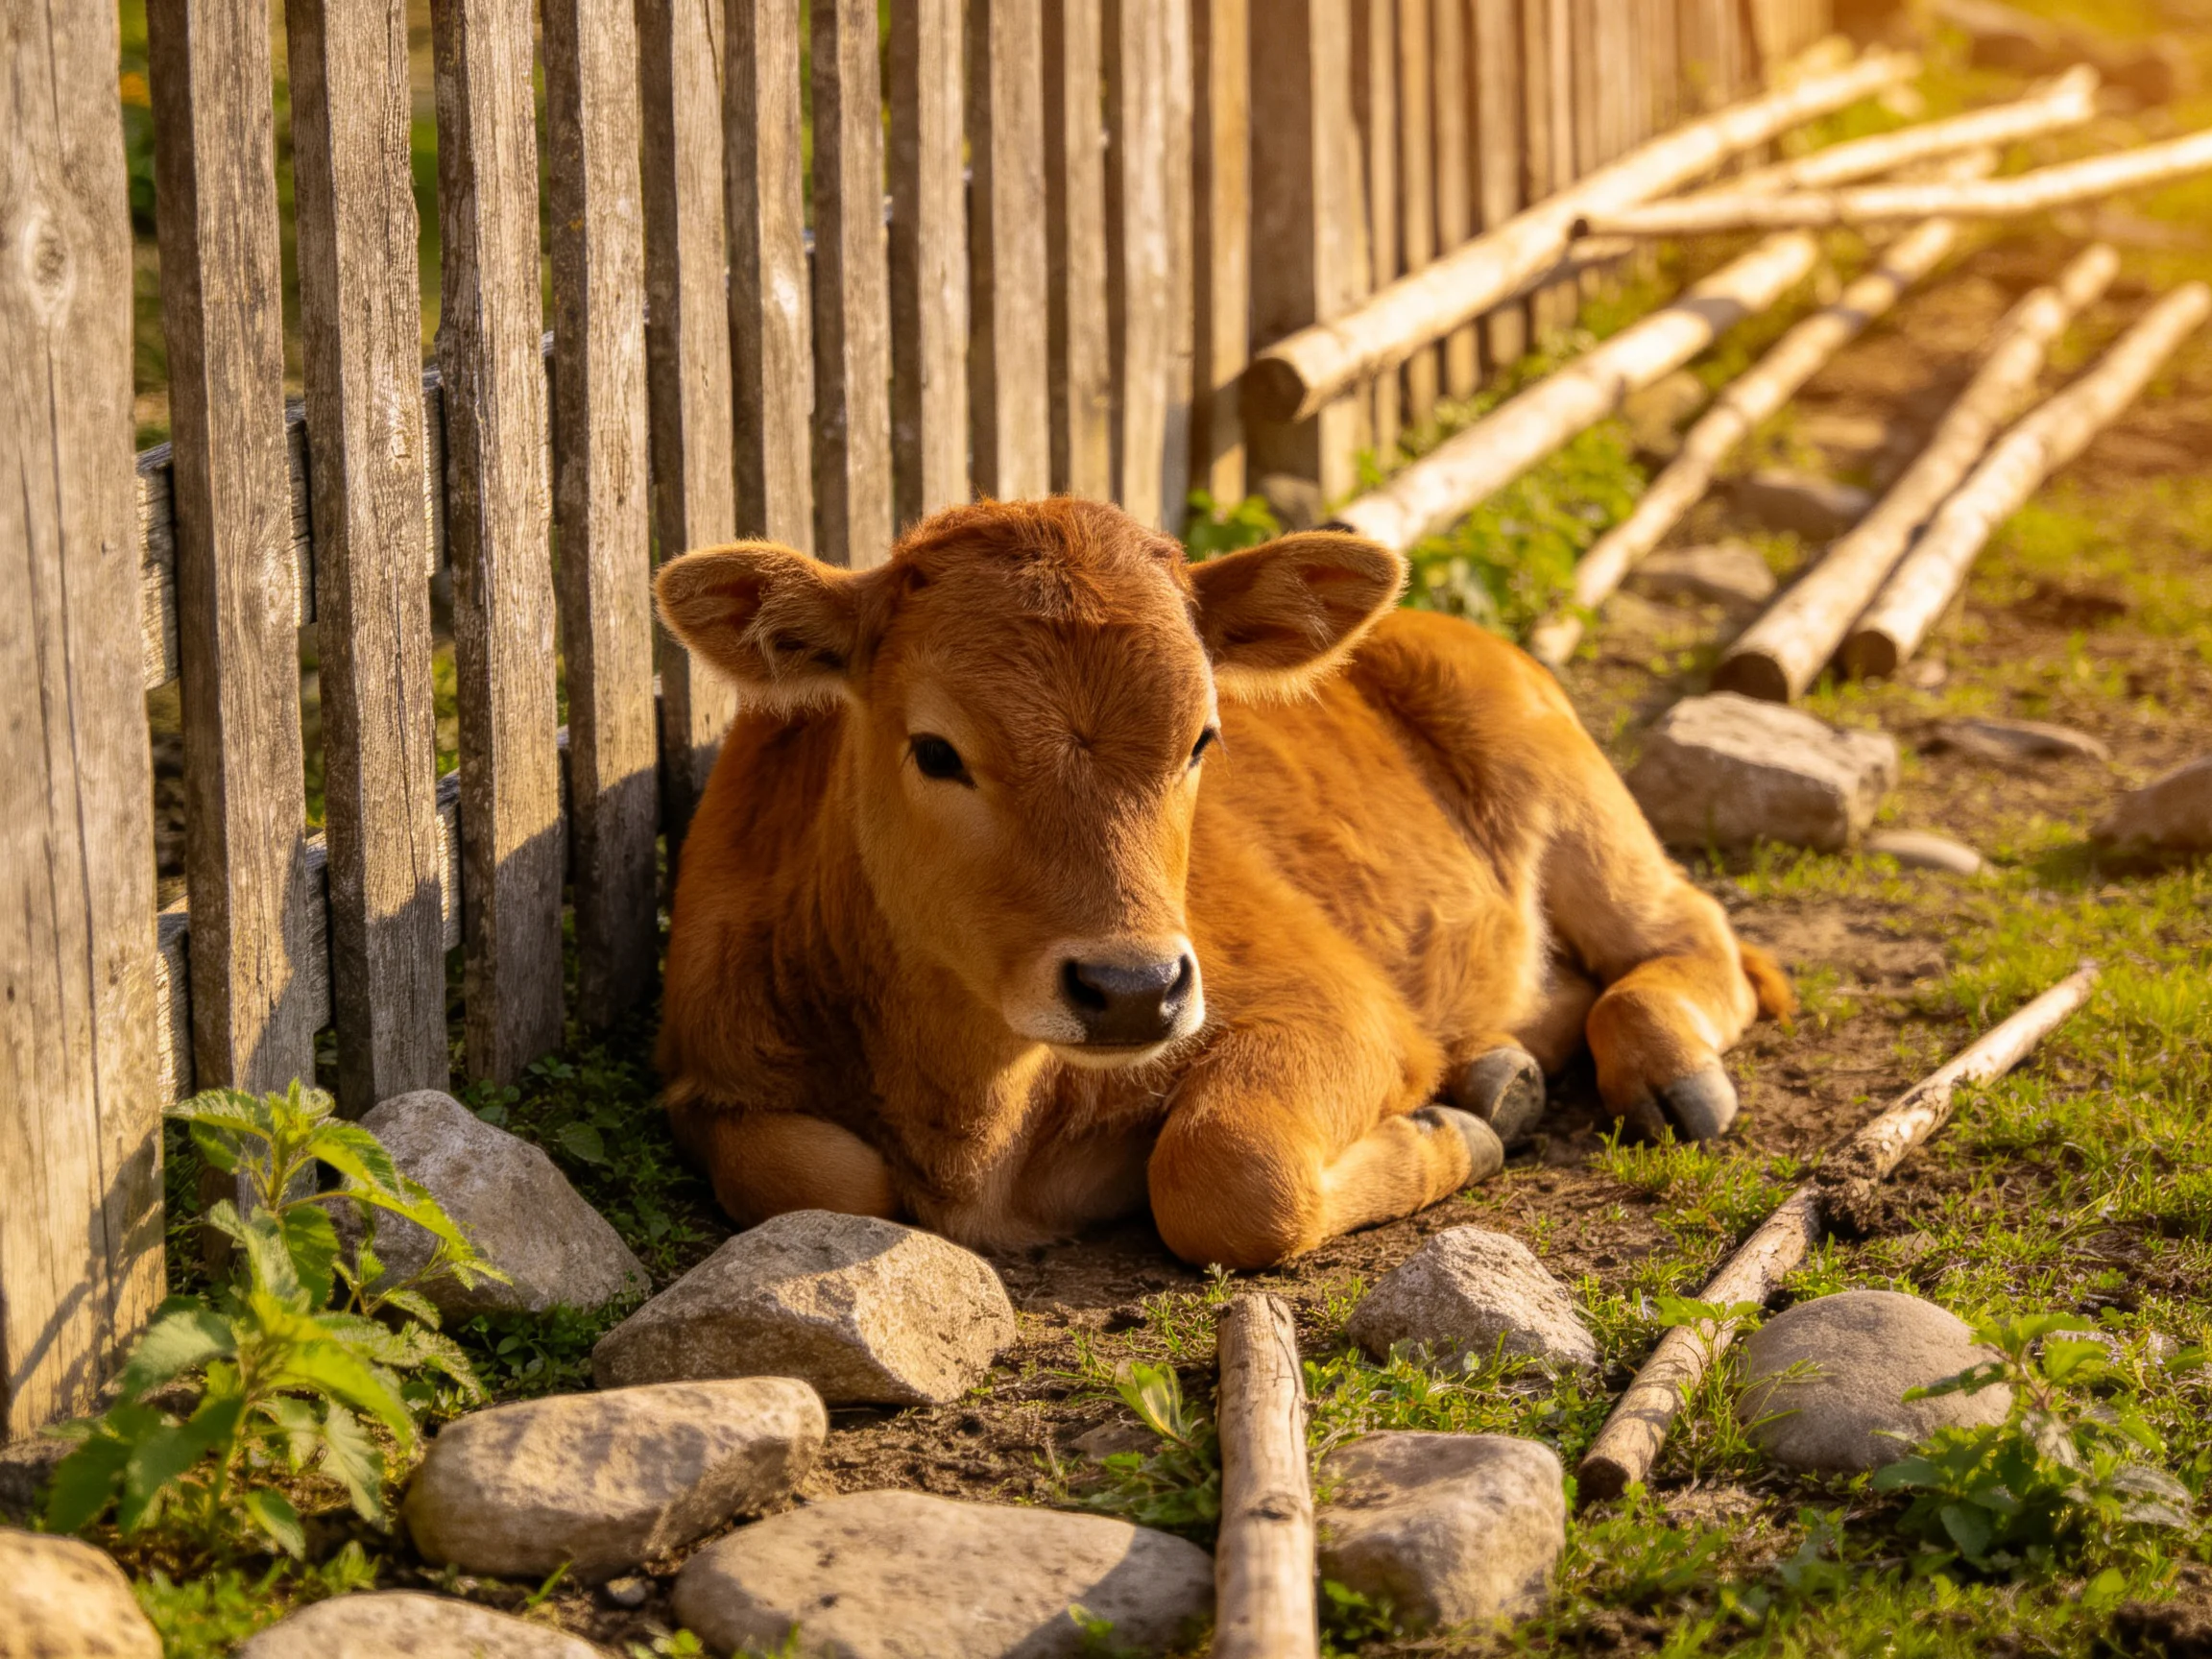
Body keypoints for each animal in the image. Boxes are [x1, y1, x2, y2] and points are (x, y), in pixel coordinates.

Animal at [652, 497, 1793, 1270]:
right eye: (935, 750)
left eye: (1202, 737)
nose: (1131, 991)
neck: (981, 1116)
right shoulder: (710, 1068)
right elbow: (822, 1177)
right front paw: (1467, 1108)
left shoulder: (1336, 1004)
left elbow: (1224, 1169)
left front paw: (1446, 1135)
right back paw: (1496, 1069)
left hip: (1568, 795)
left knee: (1689, 934)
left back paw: (1663, 1069)